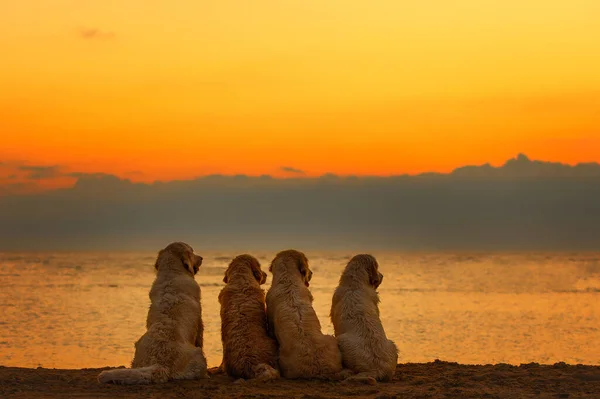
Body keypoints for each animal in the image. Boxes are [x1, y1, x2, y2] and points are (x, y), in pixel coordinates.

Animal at [98, 242, 209, 386]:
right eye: (192, 251)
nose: (201, 258)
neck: (172, 273)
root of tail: (160, 364)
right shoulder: (199, 322)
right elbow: (200, 338)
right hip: (198, 355)